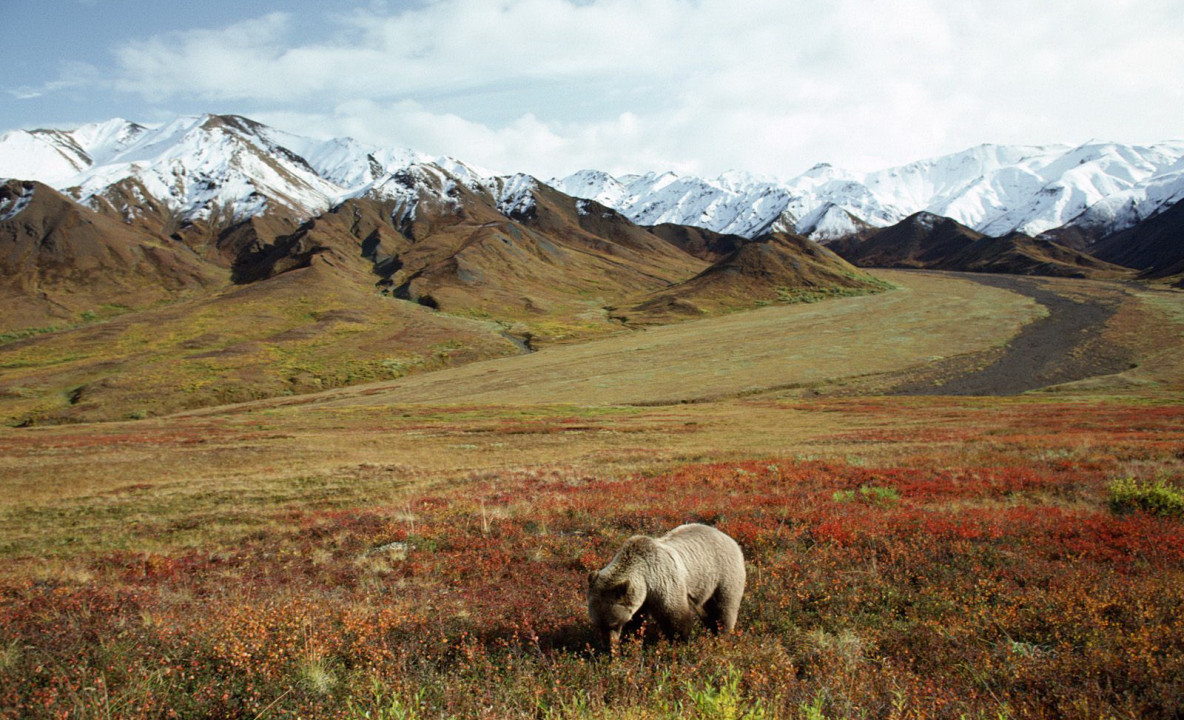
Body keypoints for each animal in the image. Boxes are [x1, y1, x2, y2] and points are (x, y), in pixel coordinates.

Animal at [587, 523, 743, 648]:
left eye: (613, 624)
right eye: (597, 624)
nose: (607, 646)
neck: (646, 580)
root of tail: (729, 538)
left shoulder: (664, 582)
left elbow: (675, 617)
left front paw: (680, 642)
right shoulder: (640, 598)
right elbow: (636, 621)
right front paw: (630, 641)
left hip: (724, 574)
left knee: (724, 608)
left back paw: (722, 635)